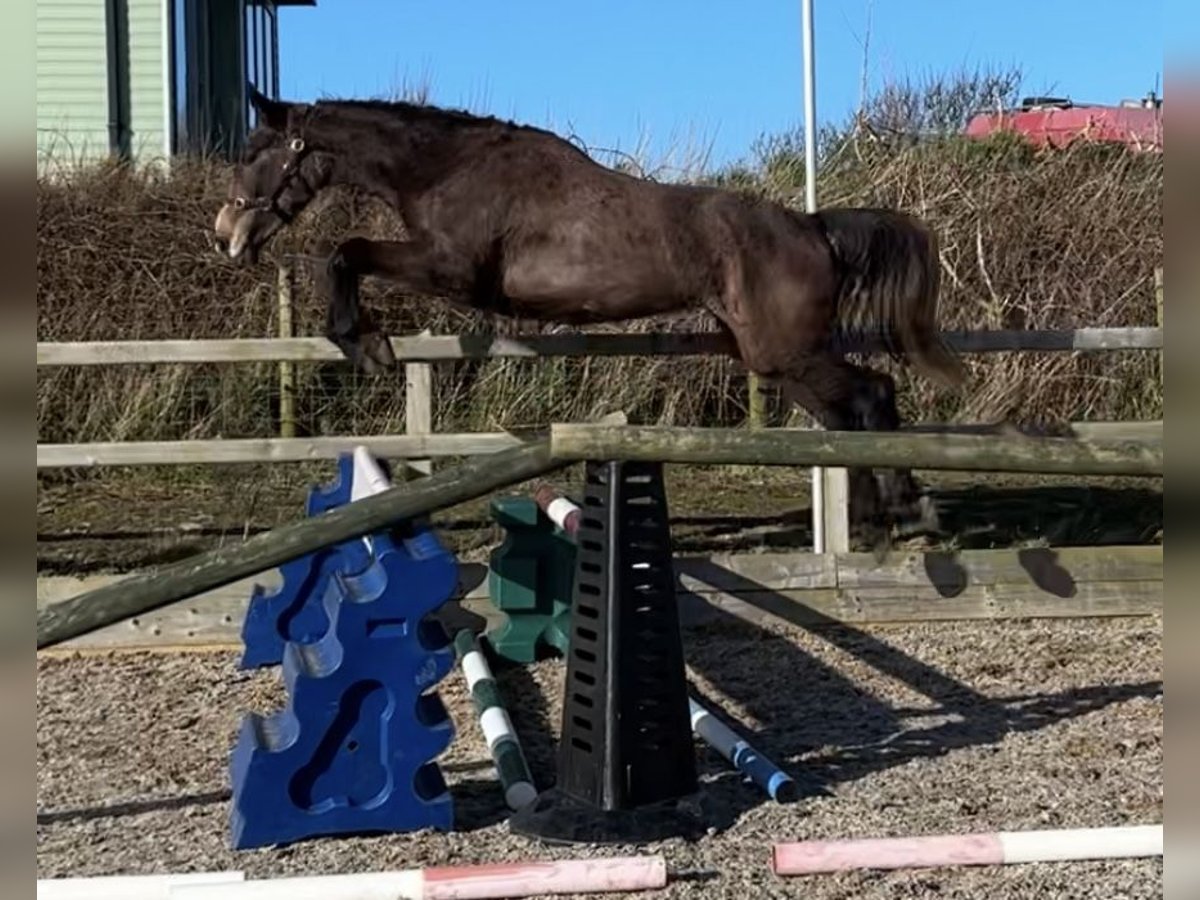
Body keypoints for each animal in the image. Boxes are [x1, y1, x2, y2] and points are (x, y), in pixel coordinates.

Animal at [213, 88, 964, 547]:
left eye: (253, 154)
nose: (228, 236)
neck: (444, 167)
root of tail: (812, 228)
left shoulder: (452, 269)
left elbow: (346, 252)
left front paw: (365, 343)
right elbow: (349, 253)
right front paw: (363, 341)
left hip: (784, 349)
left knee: (871, 395)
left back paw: (908, 514)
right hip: (771, 355)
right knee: (845, 415)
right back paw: (876, 523)